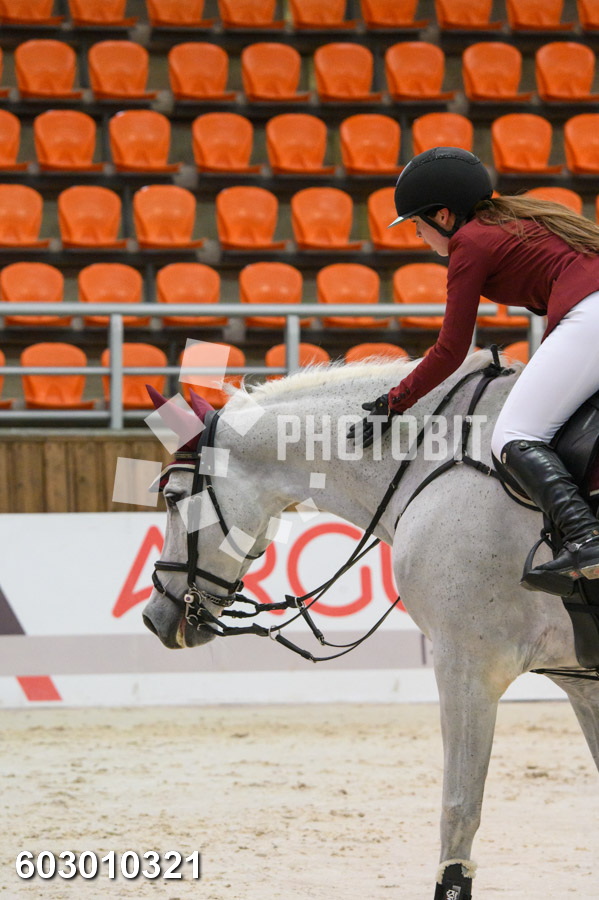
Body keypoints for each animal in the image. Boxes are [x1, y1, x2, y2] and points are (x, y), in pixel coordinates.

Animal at [142, 349, 599, 900]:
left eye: (173, 497)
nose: (155, 616)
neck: (428, 458)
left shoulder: (467, 667)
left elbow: (458, 815)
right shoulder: (582, 681)